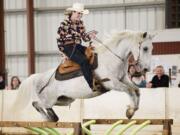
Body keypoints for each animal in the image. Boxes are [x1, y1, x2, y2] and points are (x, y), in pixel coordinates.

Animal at [12, 30, 153, 121]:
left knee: (41, 105)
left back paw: (50, 118)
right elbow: (129, 90)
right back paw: (48, 118)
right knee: (36, 104)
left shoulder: (123, 79)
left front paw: (131, 111)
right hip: (49, 100)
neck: (111, 58)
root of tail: (37, 77)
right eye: (145, 48)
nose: (146, 69)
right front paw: (130, 110)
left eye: (151, 48)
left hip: (64, 99)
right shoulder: (111, 83)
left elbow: (136, 90)